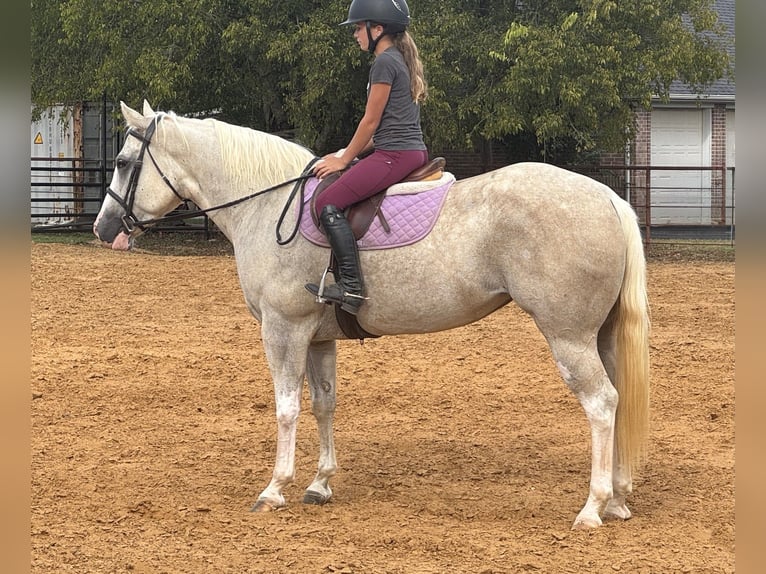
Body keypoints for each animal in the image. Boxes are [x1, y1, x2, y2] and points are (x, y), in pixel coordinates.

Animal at [94, 100, 650, 530]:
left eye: (121, 160)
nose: (103, 228)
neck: (268, 206)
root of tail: (606, 196)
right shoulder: (317, 337)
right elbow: (324, 404)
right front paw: (320, 483)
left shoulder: (283, 329)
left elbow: (286, 407)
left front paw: (275, 488)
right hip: (598, 336)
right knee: (619, 399)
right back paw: (619, 499)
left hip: (568, 336)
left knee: (601, 404)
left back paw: (594, 506)